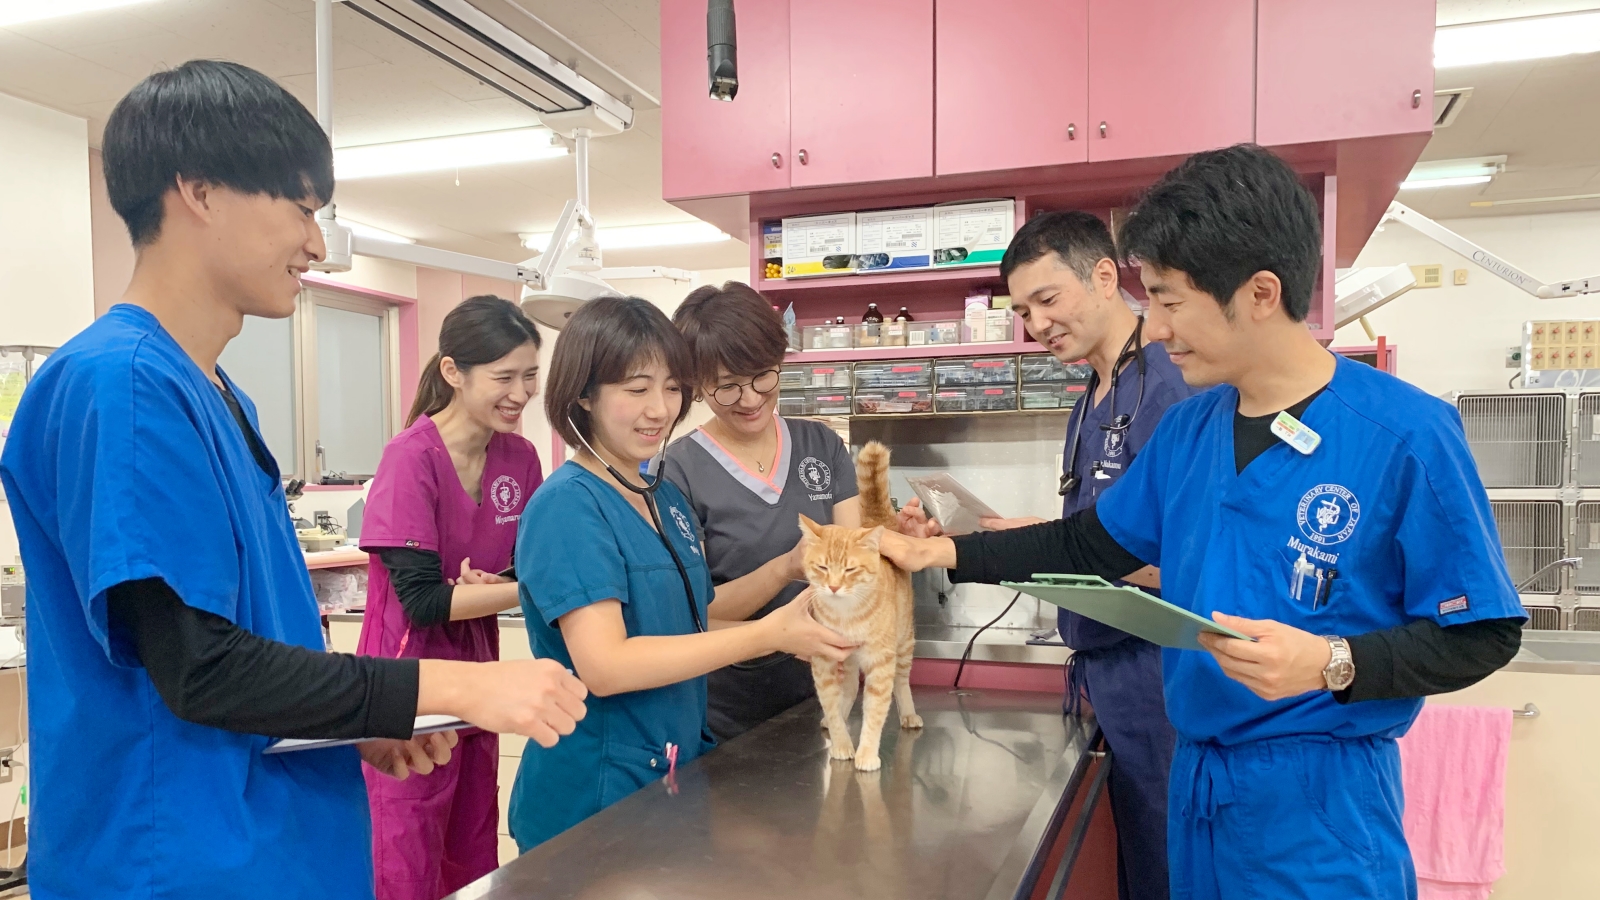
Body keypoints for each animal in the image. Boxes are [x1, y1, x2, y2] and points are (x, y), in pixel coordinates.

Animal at [800, 438, 928, 768]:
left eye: (850, 570)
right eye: (822, 567)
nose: (833, 586)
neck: (846, 616)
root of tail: (876, 522)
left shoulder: (881, 663)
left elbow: (875, 711)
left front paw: (867, 753)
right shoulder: (824, 661)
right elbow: (832, 705)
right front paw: (841, 743)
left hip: (904, 643)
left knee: (901, 682)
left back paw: (909, 713)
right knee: (847, 690)